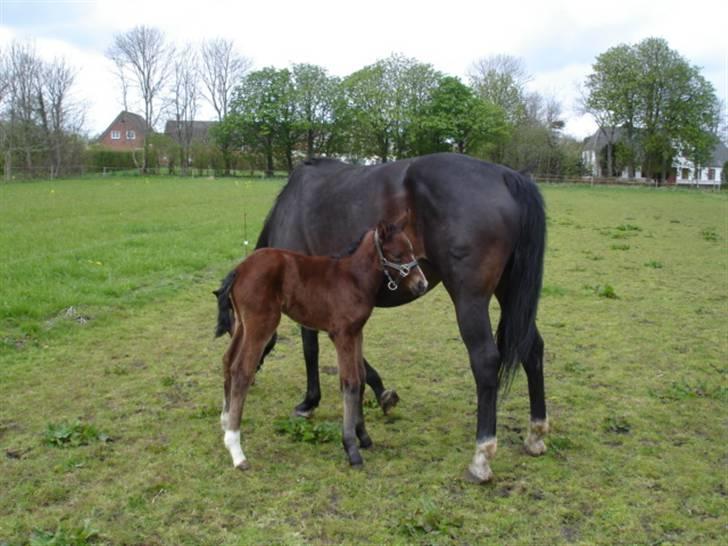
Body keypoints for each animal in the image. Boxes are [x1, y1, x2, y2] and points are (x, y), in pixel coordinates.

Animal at [213, 215, 426, 470]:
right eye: (397, 254)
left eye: (411, 250)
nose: (421, 284)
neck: (354, 278)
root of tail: (239, 268)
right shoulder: (342, 334)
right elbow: (350, 383)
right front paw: (351, 449)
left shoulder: (357, 333)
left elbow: (361, 379)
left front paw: (364, 437)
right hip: (261, 323)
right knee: (242, 370)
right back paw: (237, 450)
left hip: (241, 325)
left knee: (227, 360)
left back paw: (226, 423)